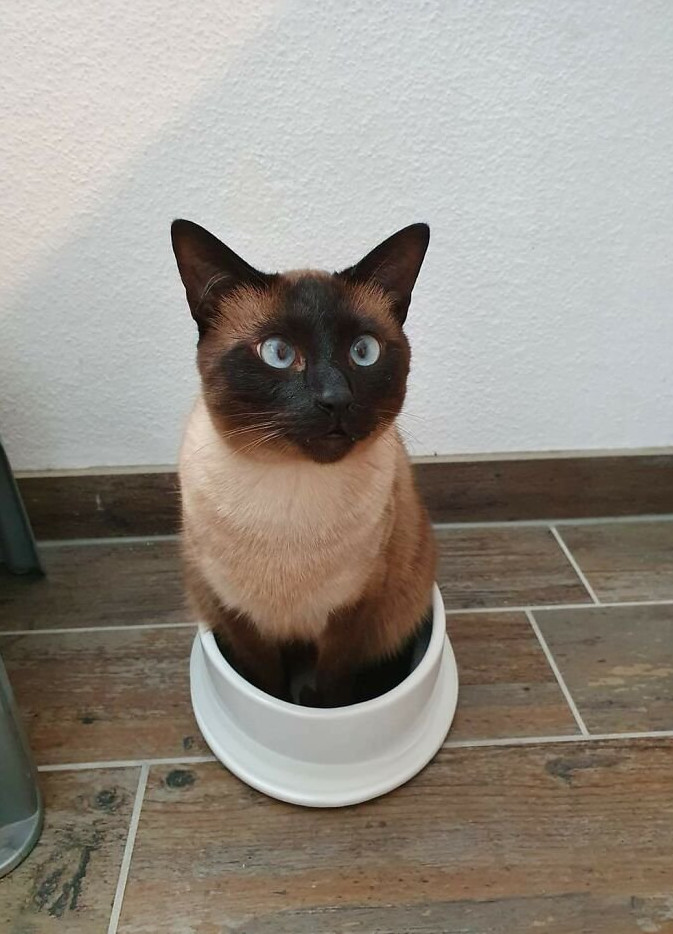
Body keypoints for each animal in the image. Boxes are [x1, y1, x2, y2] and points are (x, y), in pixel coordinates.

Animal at [172, 219, 436, 707]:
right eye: (278, 353)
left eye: (363, 351)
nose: (335, 400)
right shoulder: (235, 612)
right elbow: (266, 683)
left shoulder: (352, 611)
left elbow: (332, 687)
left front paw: (318, 706)